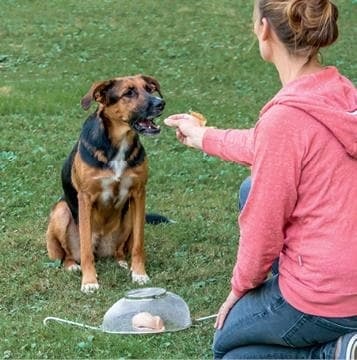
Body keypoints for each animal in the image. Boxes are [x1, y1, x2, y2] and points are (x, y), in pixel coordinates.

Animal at [45, 75, 165, 292]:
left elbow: (138, 244)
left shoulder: (139, 194)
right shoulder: (85, 198)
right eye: (129, 92)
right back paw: (72, 265)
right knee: (68, 254)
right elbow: (85, 249)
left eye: (149, 89)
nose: (161, 103)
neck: (119, 143)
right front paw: (89, 281)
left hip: (129, 215)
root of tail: (102, 250)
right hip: (61, 211)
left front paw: (139, 274)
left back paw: (121, 261)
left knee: (120, 249)